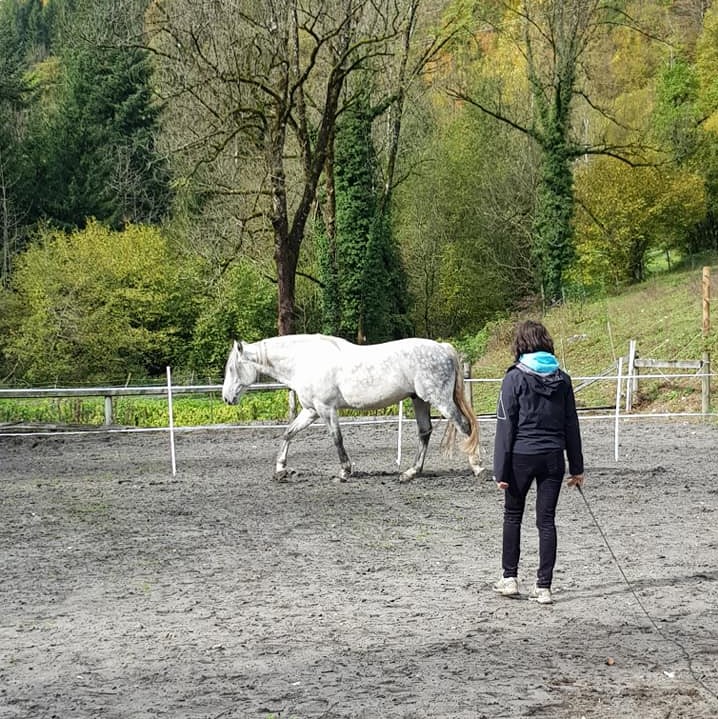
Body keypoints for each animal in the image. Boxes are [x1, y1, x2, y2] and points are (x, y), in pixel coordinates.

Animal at [222, 338, 492, 484]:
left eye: (232, 368)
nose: (226, 398)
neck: (305, 360)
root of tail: (443, 348)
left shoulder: (326, 409)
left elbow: (337, 439)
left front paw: (344, 472)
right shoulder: (310, 410)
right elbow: (288, 433)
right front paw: (280, 470)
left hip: (439, 400)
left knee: (464, 426)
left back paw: (478, 467)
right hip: (420, 400)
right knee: (425, 432)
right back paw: (409, 473)